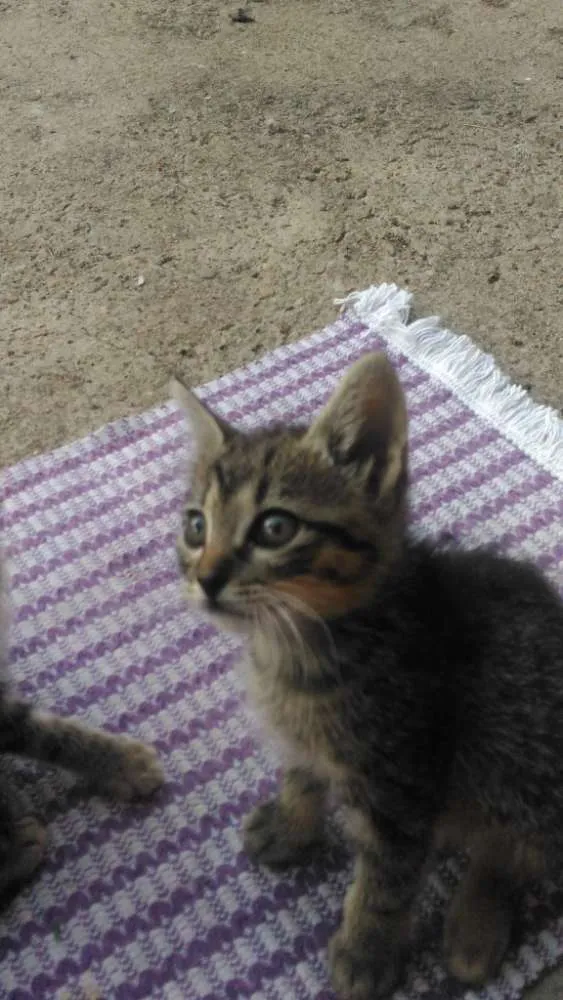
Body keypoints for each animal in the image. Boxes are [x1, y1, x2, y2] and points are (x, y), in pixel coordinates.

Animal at [172, 352, 563, 999]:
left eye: (275, 528)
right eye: (196, 527)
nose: (205, 579)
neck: (295, 647)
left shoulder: (402, 783)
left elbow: (385, 882)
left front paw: (366, 951)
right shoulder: (308, 744)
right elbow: (302, 774)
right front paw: (292, 825)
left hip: (518, 760)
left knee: (511, 850)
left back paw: (474, 927)